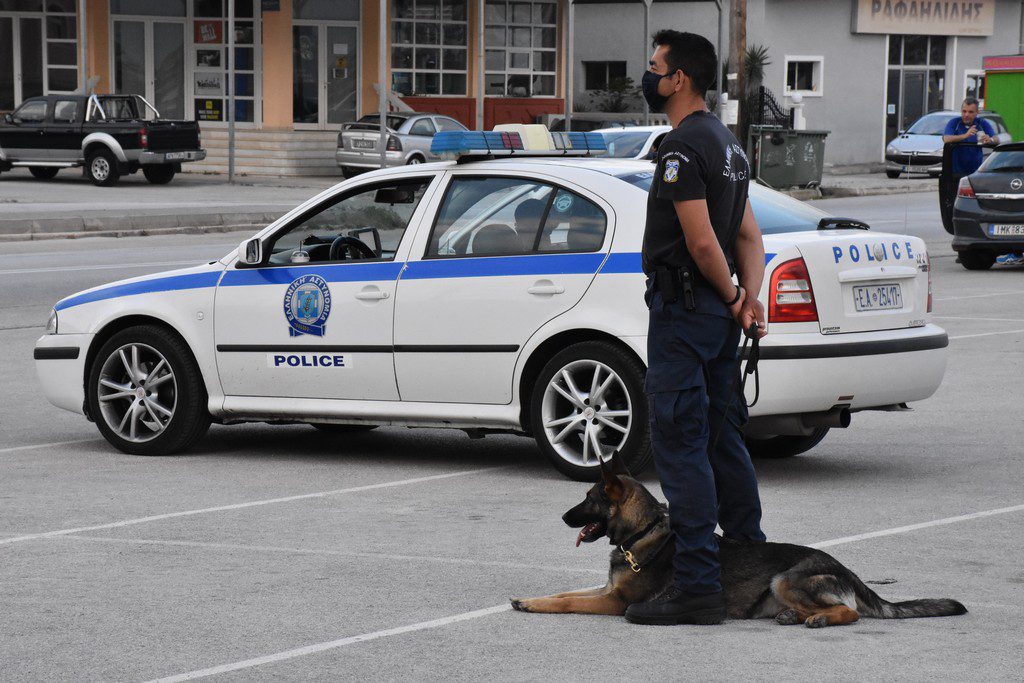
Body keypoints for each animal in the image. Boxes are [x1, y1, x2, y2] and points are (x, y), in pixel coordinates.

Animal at [512, 450, 966, 626]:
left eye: (587, 499)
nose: (563, 516)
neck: (644, 531)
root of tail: (847, 571)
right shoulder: (606, 590)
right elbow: (562, 594)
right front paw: (529, 600)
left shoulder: (615, 602)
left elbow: (568, 601)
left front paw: (534, 605)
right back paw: (794, 617)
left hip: (785, 578)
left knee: (849, 612)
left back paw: (819, 618)